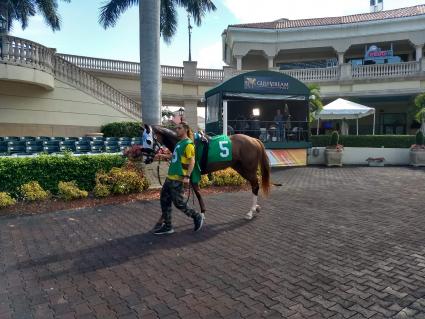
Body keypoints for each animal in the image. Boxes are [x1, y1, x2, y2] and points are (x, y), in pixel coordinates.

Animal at [141, 125, 270, 220]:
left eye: (148, 140)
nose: (145, 159)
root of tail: (254, 140)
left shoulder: (193, 174)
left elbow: (198, 193)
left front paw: (202, 214)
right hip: (240, 168)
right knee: (254, 185)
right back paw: (256, 208)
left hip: (249, 169)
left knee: (255, 185)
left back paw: (251, 212)